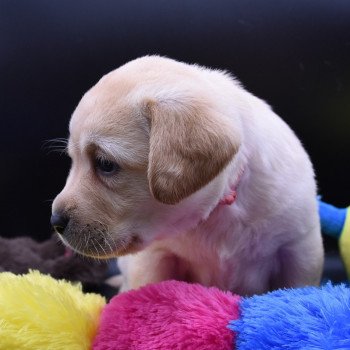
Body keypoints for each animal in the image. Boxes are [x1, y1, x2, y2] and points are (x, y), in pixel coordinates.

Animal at [50, 55, 324, 296]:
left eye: (105, 164)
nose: (55, 221)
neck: (218, 209)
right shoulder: (156, 256)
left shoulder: (300, 248)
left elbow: (299, 288)